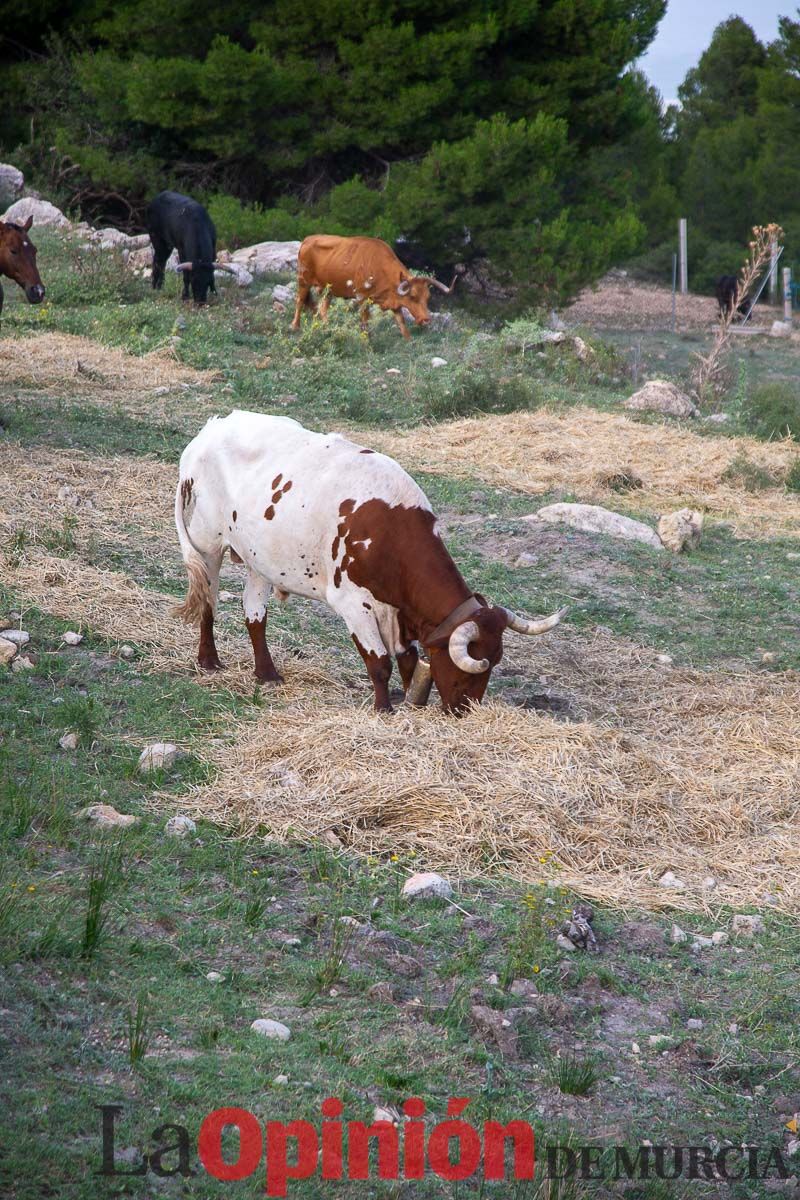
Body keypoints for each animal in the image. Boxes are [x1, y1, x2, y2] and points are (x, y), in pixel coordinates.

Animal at [176, 412, 563, 710]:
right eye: (474, 664)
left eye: (495, 661)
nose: (464, 710)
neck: (392, 532)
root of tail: (210, 430)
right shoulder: (352, 603)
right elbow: (378, 662)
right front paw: (383, 709)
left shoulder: (399, 614)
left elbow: (407, 661)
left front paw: (408, 701)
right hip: (207, 544)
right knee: (207, 600)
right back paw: (209, 661)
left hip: (261, 559)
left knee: (254, 614)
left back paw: (267, 674)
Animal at [292, 232, 462, 338]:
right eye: (413, 296)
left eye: (427, 297)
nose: (426, 320)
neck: (378, 266)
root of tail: (307, 240)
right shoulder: (362, 298)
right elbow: (365, 323)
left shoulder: (395, 303)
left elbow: (402, 324)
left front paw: (409, 342)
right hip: (303, 281)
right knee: (299, 301)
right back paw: (294, 327)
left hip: (329, 291)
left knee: (322, 308)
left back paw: (327, 328)